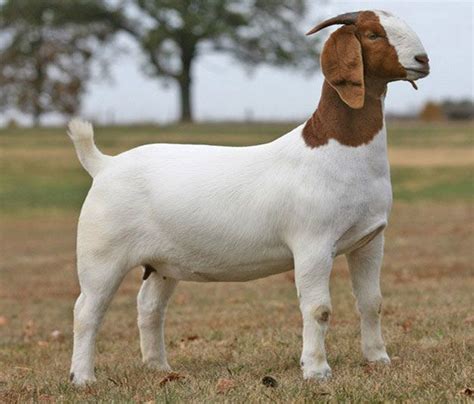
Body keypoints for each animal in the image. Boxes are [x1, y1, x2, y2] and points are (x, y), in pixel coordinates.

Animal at [67, 10, 430, 386]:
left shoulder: (369, 240)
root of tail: (105, 165)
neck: (337, 149)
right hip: (102, 254)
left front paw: (379, 359)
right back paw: (83, 378)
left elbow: (372, 301)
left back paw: (160, 368)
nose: (423, 60)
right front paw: (316, 370)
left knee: (149, 307)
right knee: (87, 310)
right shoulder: (312, 244)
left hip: (161, 263)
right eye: (373, 35)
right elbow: (318, 308)